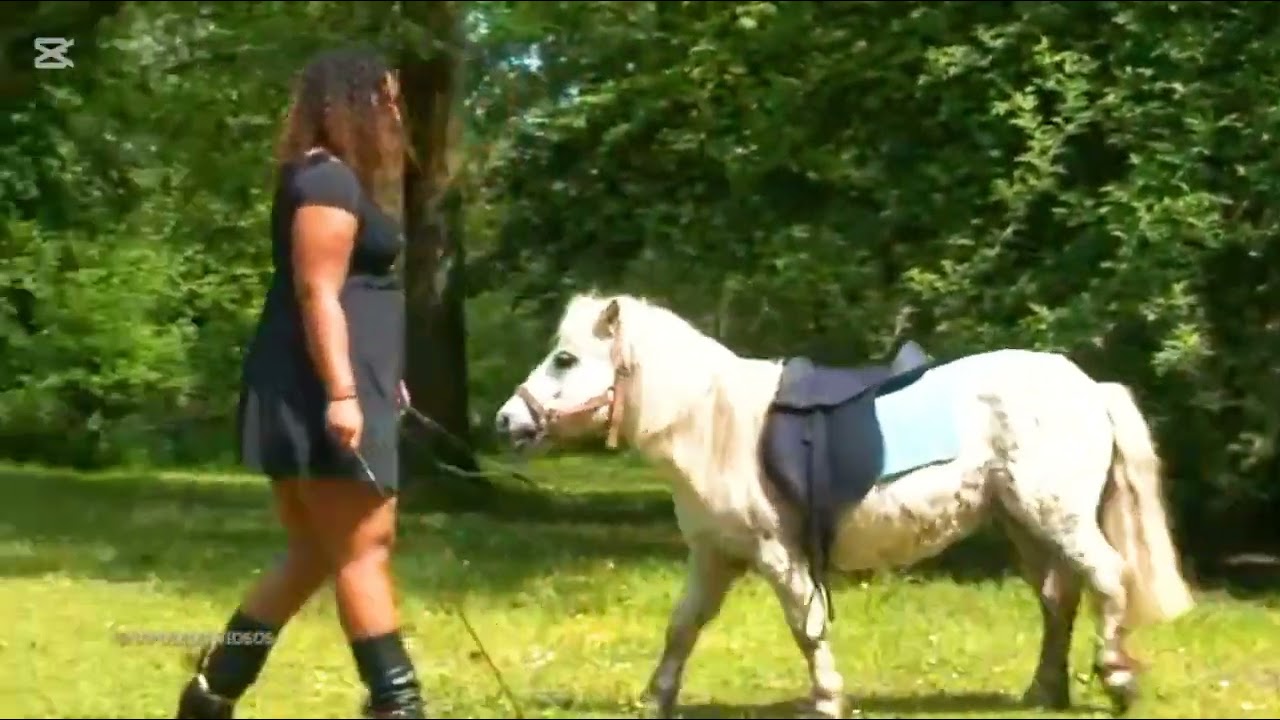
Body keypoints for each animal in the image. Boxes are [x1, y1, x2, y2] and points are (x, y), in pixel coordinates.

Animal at [493, 292, 1195, 718]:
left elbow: (806, 630)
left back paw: (1117, 678)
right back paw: (1045, 690)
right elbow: (682, 627)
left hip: (1058, 515)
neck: (714, 424)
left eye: (565, 359)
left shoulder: (779, 556)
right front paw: (656, 698)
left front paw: (828, 698)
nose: (506, 422)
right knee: (1059, 597)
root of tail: (1089, 387)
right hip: (1025, 522)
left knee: (1107, 578)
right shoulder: (714, 557)